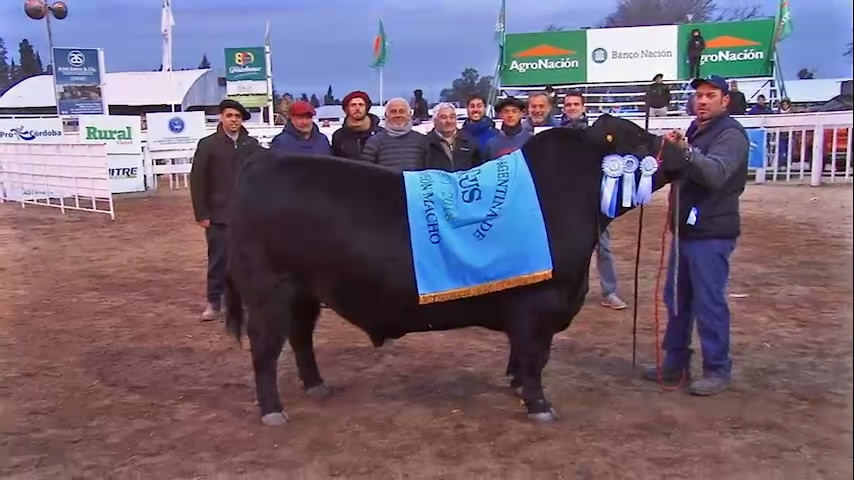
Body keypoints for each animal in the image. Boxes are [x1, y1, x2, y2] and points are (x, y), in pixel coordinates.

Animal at [222, 114, 688, 426]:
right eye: (639, 138)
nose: (683, 150)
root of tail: (261, 164)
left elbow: (522, 356)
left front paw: (516, 385)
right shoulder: (538, 304)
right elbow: (535, 356)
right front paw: (540, 406)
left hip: (304, 293)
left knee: (300, 338)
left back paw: (317, 385)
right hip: (269, 291)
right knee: (265, 349)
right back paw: (273, 411)